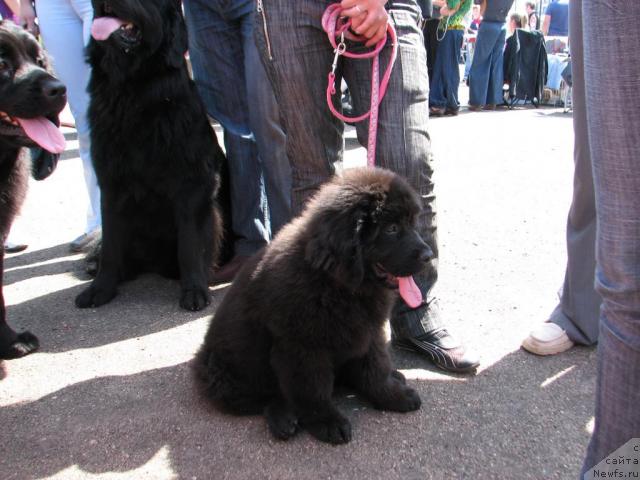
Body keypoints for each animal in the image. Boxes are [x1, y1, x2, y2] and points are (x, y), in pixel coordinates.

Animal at [76, 0, 226, 312]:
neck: (132, 91)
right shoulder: (110, 183)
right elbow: (111, 242)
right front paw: (101, 289)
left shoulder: (191, 184)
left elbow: (190, 243)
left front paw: (194, 290)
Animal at [195, 167, 432, 444]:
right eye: (392, 229)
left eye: (412, 223)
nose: (429, 256)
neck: (335, 281)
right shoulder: (303, 347)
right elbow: (313, 388)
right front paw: (327, 422)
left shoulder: (368, 333)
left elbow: (375, 369)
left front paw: (393, 396)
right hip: (225, 375)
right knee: (266, 398)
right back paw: (284, 419)